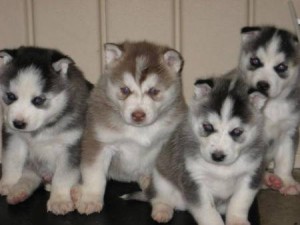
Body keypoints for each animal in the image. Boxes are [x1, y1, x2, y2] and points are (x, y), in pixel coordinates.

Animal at [0, 47, 92, 214]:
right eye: (11, 96)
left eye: (38, 100)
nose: (18, 123)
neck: (42, 129)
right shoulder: (14, 137)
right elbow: (12, 160)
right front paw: (8, 183)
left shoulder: (71, 146)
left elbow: (63, 176)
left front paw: (60, 200)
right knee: (30, 175)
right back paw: (18, 191)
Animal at [71, 40, 186, 214]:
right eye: (124, 90)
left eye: (154, 91)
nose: (138, 115)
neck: (140, 130)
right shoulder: (99, 142)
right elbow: (94, 174)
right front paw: (90, 199)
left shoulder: (167, 142)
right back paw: (77, 191)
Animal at [132, 75, 266, 225]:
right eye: (208, 126)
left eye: (237, 131)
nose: (217, 156)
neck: (221, 168)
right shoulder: (195, 180)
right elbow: (207, 211)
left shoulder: (251, 176)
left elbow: (240, 202)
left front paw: (237, 221)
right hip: (161, 181)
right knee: (157, 197)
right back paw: (162, 210)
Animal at [239, 25, 300, 195]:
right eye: (255, 61)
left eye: (281, 67)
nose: (262, 85)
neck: (270, 105)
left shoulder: (289, 130)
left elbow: (286, 158)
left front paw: (287, 181)